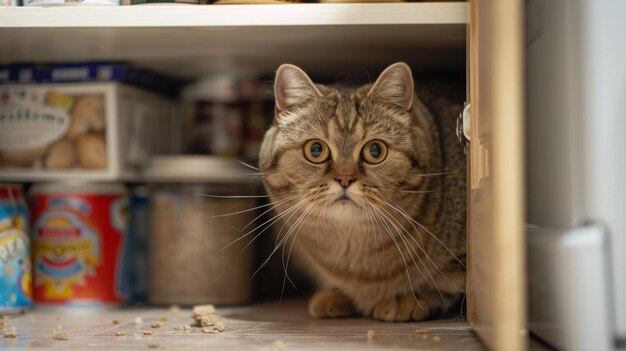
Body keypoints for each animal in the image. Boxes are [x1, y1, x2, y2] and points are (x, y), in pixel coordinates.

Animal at [256, 62, 466, 322]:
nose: (345, 179)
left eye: (375, 150)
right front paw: (335, 295)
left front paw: (410, 299)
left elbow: (448, 282)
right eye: (316, 150)